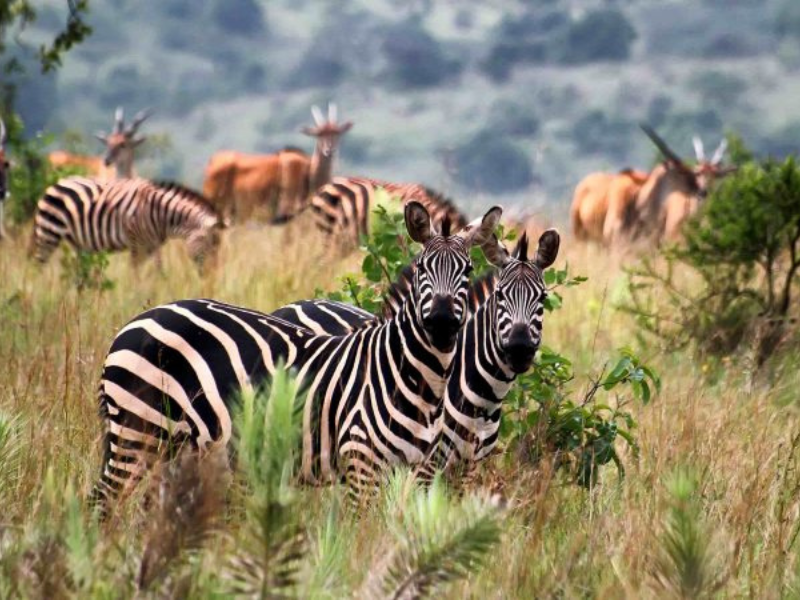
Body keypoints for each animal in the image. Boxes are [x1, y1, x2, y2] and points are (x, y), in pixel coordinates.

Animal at [32, 177, 227, 268]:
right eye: (211, 246)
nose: (211, 277)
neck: (160, 212)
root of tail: (55, 184)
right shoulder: (137, 243)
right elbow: (137, 274)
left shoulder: (153, 245)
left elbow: (159, 271)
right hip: (49, 234)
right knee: (38, 266)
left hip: (77, 243)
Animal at [90, 202, 502, 512]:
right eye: (421, 269)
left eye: (467, 270)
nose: (442, 322)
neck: (414, 377)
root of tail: (137, 320)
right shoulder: (362, 464)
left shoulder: (411, 471)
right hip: (138, 428)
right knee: (103, 502)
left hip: (171, 444)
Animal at [202, 103, 352, 223]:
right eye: (318, 134)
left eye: (337, 133)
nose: (329, 150)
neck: (308, 171)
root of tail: (212, 160)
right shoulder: (287, 212)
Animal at [273, 228, 561, 477]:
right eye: (500, 296)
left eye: (542, 298)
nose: (520, 349)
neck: (484, 398)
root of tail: (292, 305)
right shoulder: (425, 464)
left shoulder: (468, 469)